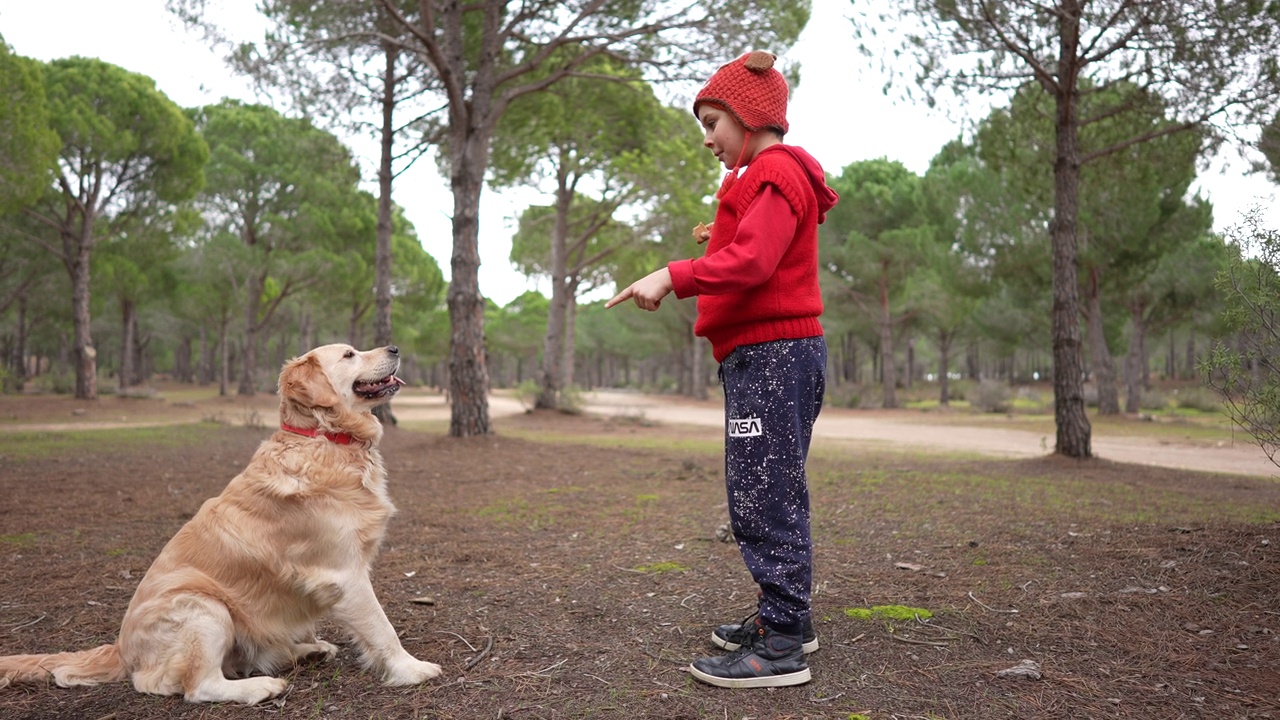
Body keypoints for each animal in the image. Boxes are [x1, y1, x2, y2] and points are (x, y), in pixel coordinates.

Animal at [0, 340, 440, 702]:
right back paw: (260, 687)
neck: (323, 438)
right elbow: (382, 627)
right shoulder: (344, 572)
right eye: (349, 355)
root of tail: (120, 649)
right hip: (204, 608)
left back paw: (308, 650)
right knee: (194, 686)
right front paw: (410, 668)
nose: (395, 347)